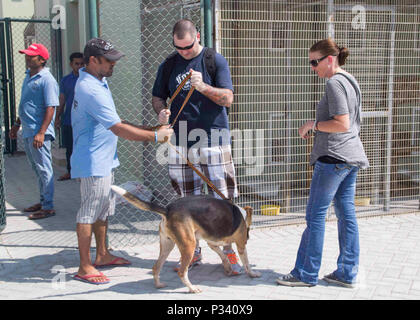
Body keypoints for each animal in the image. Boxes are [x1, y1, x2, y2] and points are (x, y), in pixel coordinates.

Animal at [110, 186, 260, 294]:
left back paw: (159, 284)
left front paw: (228, 267)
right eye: (248, 229)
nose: (248, 237)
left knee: (156, 267)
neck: (242, 214)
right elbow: (246, 263)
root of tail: (167, 209)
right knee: (182, 272)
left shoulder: (212, 243)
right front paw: (252, 274)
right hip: (189, 245)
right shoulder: (241, 245)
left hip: (167, 245)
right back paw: (192, 289)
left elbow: (223, 255)